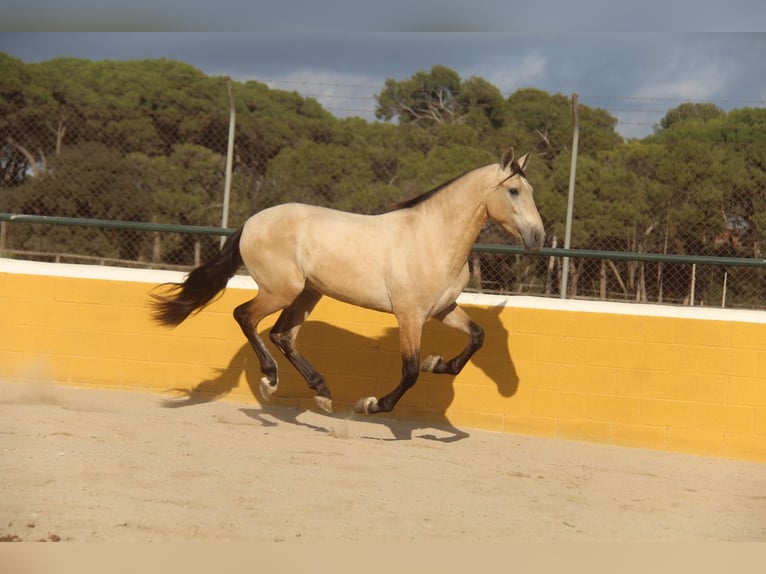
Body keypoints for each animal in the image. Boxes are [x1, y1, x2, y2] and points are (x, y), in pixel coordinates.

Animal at [150, 148, 544, 418]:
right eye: (513, 191)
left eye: (531, 190)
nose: (538, 237)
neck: (432, 238)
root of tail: (250, 222)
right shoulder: (410, 316)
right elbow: (410, 371)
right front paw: (371, 404)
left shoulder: (442, 309)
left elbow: (476, 336)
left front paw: (439, 364)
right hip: (281, 291)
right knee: (245, 317)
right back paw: (270, 380)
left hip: (308, 294)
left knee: (282, 335)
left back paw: (322, 392)